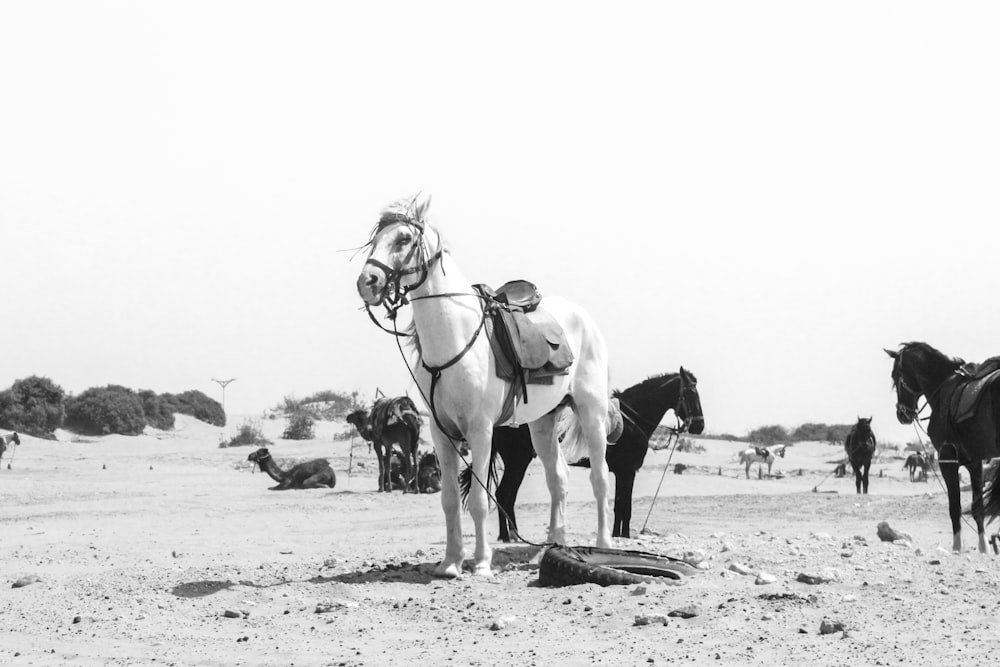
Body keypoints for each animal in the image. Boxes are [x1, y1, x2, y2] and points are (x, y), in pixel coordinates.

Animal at [356, 196, 620, 576]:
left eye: (404, 239)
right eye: (376, 240)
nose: (368, 282)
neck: (456, 339)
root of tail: (583, 317)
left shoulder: (480, 431)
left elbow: (480, 500)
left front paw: (481, 562)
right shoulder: (442, 434)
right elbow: (450, 499)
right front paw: (451, 563)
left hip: (592, 411)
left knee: (599, 477)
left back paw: (603, 544)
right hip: (542, 423)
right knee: (558, 479)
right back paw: (553, 544)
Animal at [466, 366, 704, 544]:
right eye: (691, 393)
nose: (699, 426)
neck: (632, 420)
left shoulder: (622, 473)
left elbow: (620, 505)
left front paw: (616, 534)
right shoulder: (627, 472)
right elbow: (624, 506)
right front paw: (623, 535)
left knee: (506, 496)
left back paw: (511, 535)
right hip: (518, 462)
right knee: (504, 494)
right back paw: (509, 536)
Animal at [884, 342, 1000, 556]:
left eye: (895, 375)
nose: (902, 414)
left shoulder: (947, 459)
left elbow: (954, 506)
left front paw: (956, 547)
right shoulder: (974, 462)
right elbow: (977, 507)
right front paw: (983, 547)